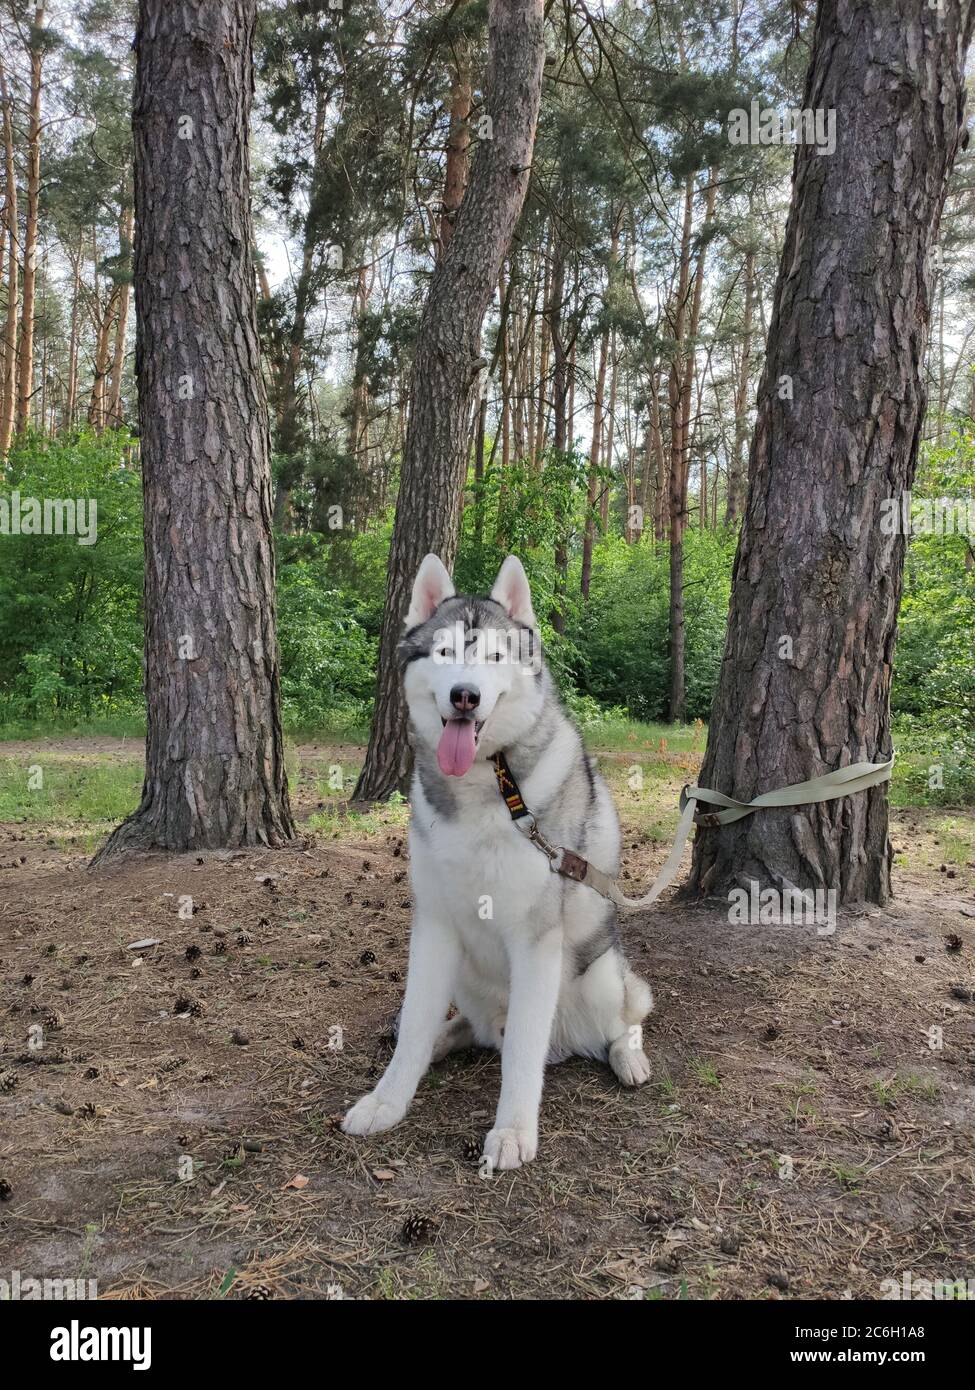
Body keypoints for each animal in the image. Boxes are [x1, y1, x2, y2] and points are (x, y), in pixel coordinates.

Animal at [342, 554, 653, 1170]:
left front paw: (512, 1131)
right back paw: (443, 1040)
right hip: (465, 976)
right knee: (465, 1028)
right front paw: (388, 1099)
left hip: (601, 975)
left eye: (493, 657)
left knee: (622, 1018)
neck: (489, 786)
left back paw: (627, 1055)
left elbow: (522, 1057)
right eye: (443, 653)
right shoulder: (434, 927)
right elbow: (415, 1022)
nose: (465, 696)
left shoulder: (536, 941)